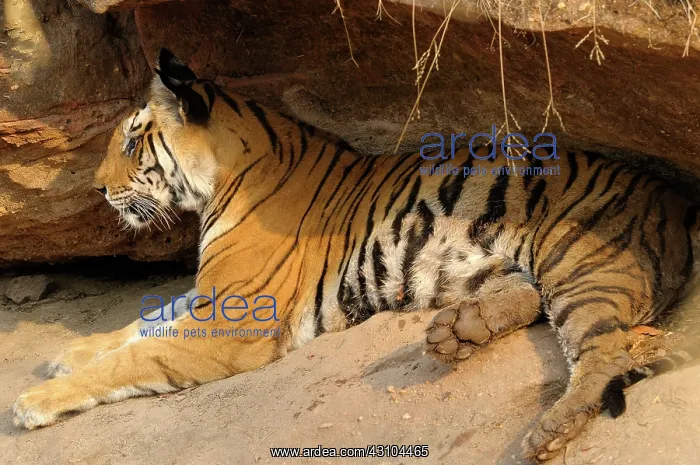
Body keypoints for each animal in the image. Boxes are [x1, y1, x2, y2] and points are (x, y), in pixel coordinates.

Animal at [12, 48, 700, 462]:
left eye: (133, 141)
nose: (96, 188)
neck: (226, 175)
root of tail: (675, 194)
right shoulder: (211, 295)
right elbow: (141, 323)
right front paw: (69, 354)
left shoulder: (237, 317)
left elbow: (139, 354)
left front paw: (34, 401)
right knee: (526, 300)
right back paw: (460, 331)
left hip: (582, 267)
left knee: (607, 350)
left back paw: (551, 427)